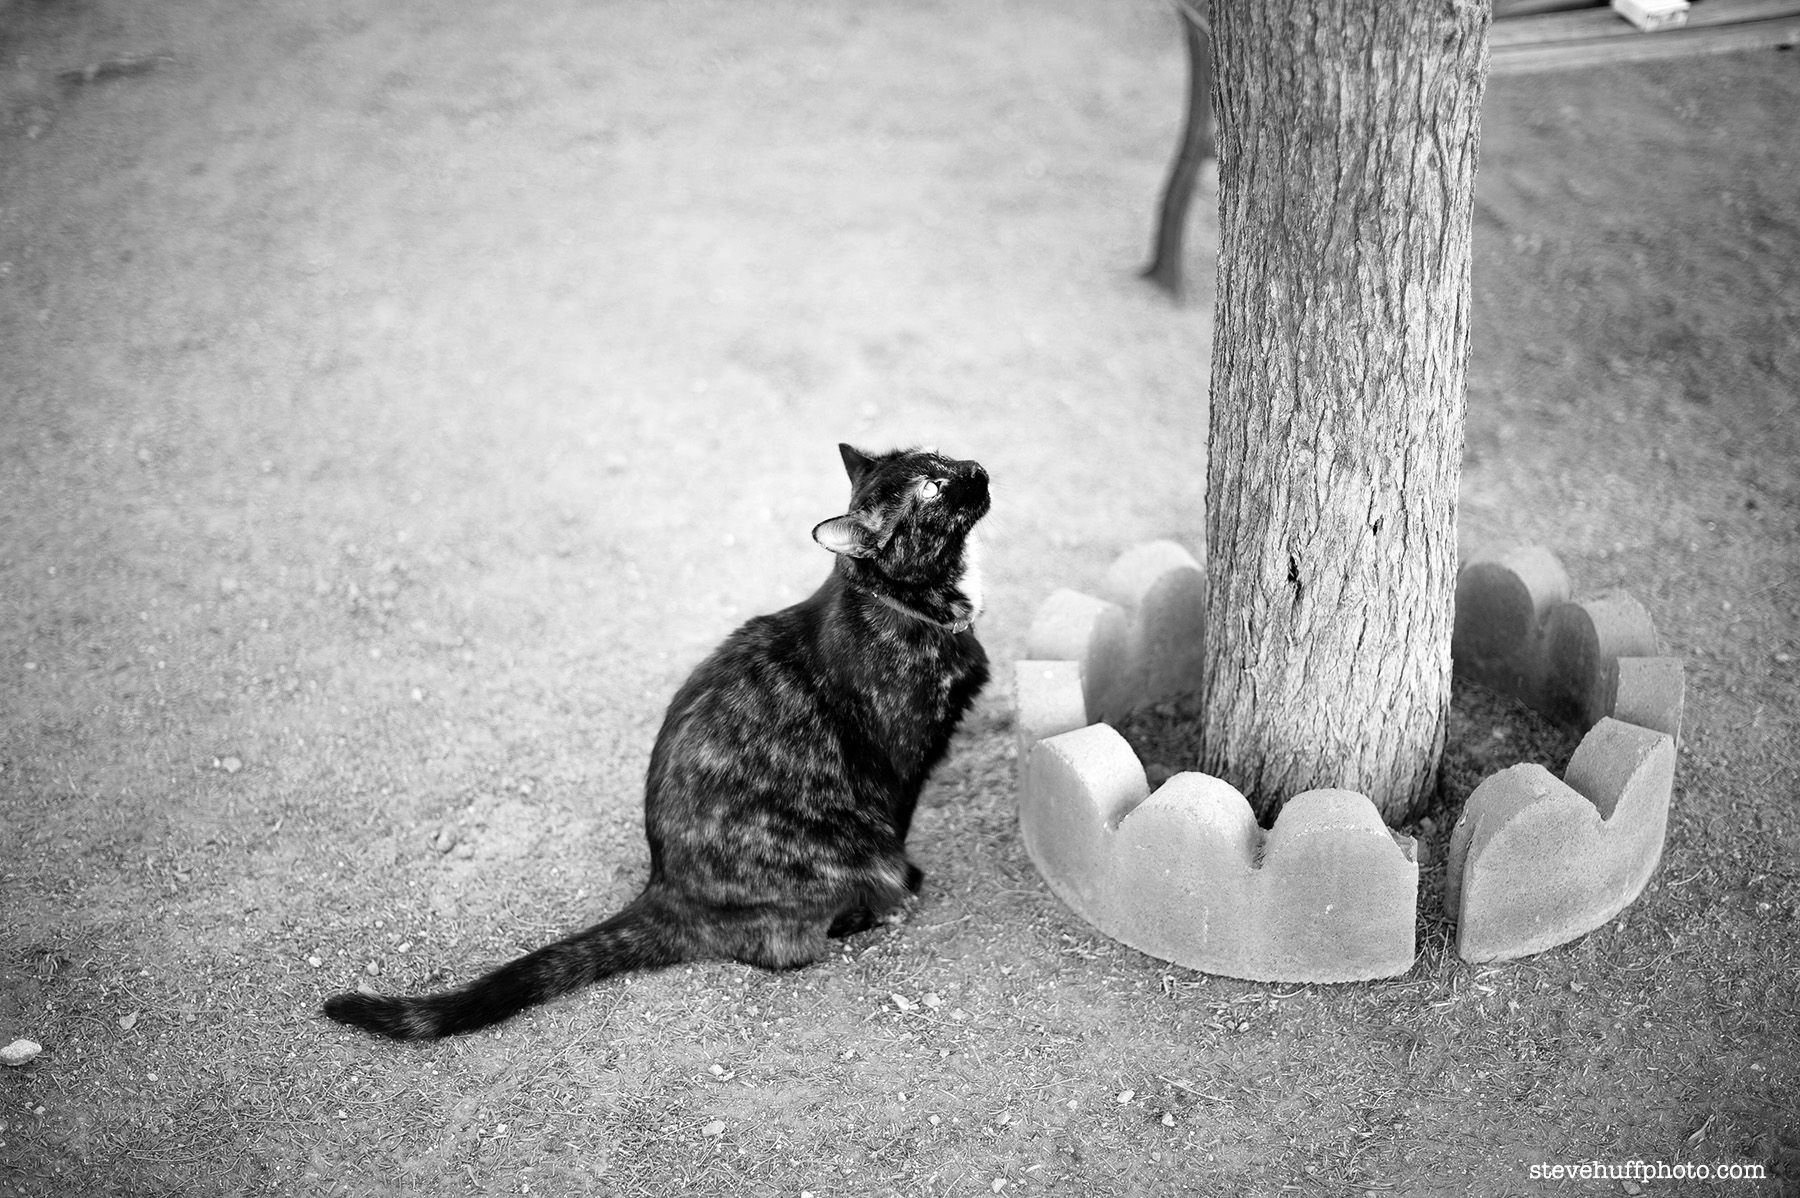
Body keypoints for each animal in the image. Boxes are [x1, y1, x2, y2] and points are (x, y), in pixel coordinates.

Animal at [323, 443, 991, 1040]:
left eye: (940, 455)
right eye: (931, 488)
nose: (977, 468)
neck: (921, 606)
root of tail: (663, 887)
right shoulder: (903, 765)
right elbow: (900, 827)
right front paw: (907, 881)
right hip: (846, 852)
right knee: (792, 943)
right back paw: (876, 904)